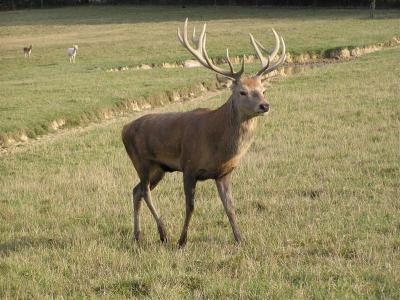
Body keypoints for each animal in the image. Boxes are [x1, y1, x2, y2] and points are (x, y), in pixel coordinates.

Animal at [120, 18, 286, 246]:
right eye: (242, 91)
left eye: (263, 90)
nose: (265, 105)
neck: (217, 143)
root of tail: (124, 129)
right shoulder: (189, 166)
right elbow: (190, 207)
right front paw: (182, 241)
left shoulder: (224, 173)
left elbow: (230, 207)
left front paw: (240, 238)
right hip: (141, 161)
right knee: (144, 191)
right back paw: (163, 233)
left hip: (159, 168)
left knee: (136, 190)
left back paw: (138, 235)